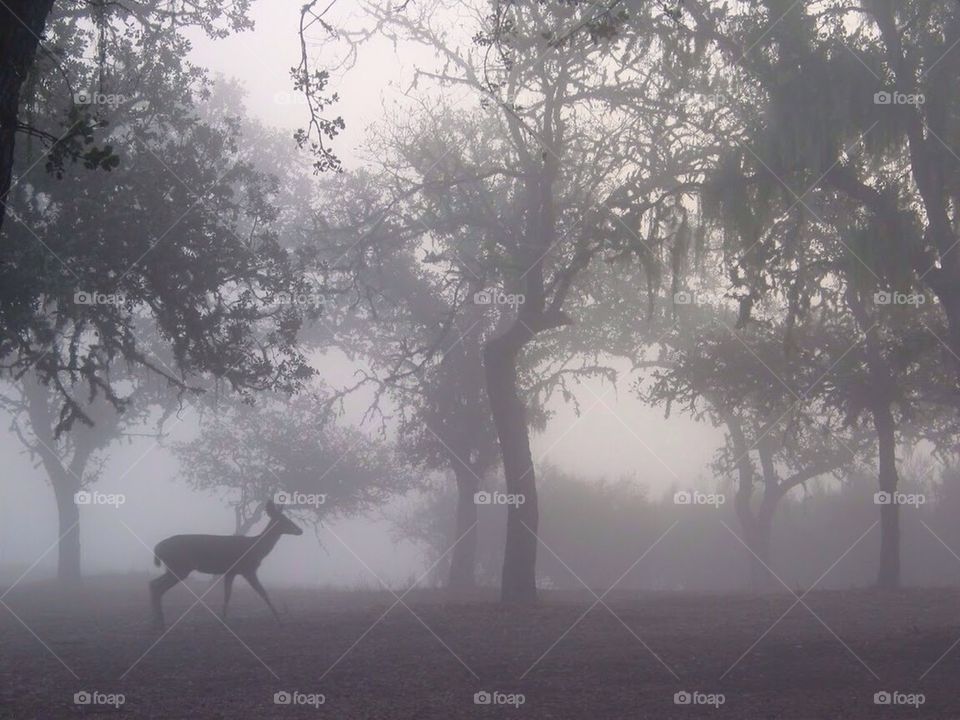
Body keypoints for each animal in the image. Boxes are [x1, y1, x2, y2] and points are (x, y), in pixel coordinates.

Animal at [150, 500, 303, 630]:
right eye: (284, 520)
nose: (300, 530)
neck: (256, 549)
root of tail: (157, 548)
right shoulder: (248, 569)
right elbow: (263, 592)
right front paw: (280, 621)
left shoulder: (231, 571)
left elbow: (227, 595)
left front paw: (223, 621)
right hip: (180, 567)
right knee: (157, 586)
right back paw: (160, 623)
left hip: (173, 567)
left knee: (153, 583)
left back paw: (157, 622)